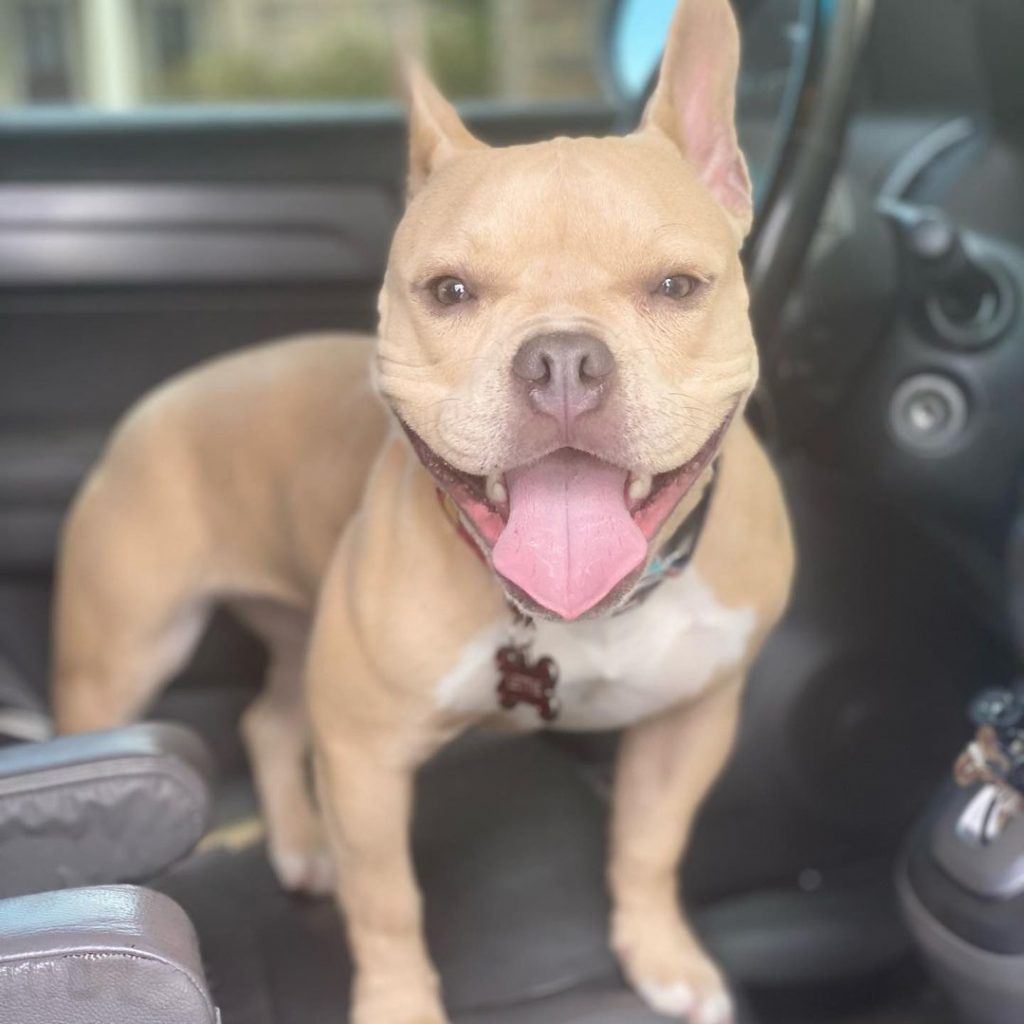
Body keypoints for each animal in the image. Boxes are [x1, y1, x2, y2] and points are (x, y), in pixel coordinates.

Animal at [54, 4, 790, 1019]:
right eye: (449, 291)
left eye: (677, 286)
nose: (564, 359)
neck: (580, 619)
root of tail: (157, 403)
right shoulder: (363, 755)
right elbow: (389, 902)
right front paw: (400, 1002)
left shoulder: (695, 717)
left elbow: (650, 842)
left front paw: (663, 956)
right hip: (123, 661)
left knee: (269, 722)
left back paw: (298, 846)